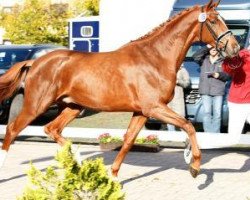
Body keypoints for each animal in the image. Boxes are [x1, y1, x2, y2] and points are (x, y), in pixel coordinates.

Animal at [0, 0, 239, 178]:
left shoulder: (142, 112)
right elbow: (188, 125)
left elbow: (128, 141)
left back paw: (78, 160)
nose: (234, 47)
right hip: (36, 106)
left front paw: (113, 176)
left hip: (72, 107)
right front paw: (194, 166)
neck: (155, 58)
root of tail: (35, 62)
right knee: (12, 130)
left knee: (52, 129)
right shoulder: (154, 108)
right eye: (213, 20)